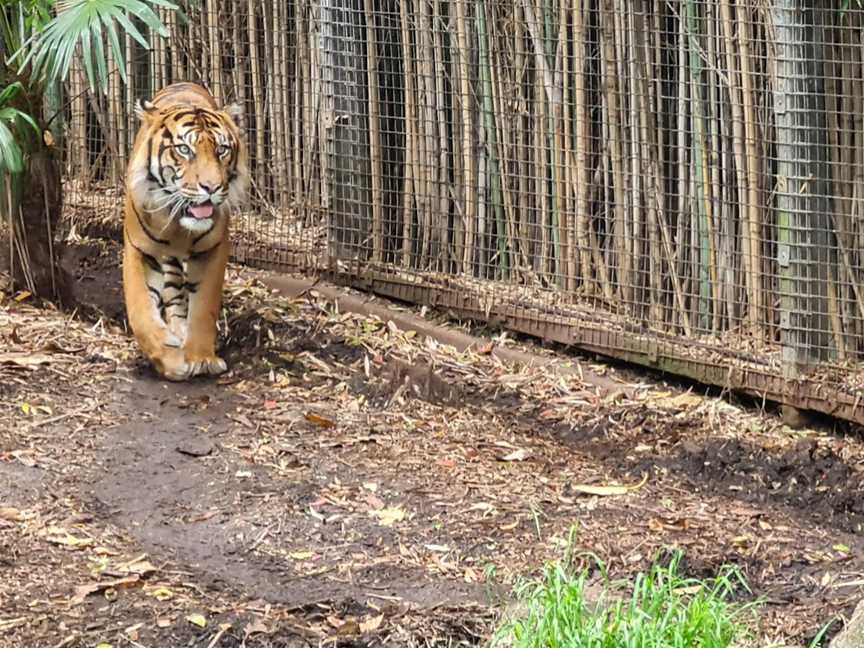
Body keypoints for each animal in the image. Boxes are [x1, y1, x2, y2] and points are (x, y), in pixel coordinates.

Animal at [121, 83, 250, 382]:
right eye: (183, 149)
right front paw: (168, 357)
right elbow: (140, 309)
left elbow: (204, 307)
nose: (212, 187)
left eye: (222, 150)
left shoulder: (213, 250)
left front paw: (201, 357)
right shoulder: (138, 249)